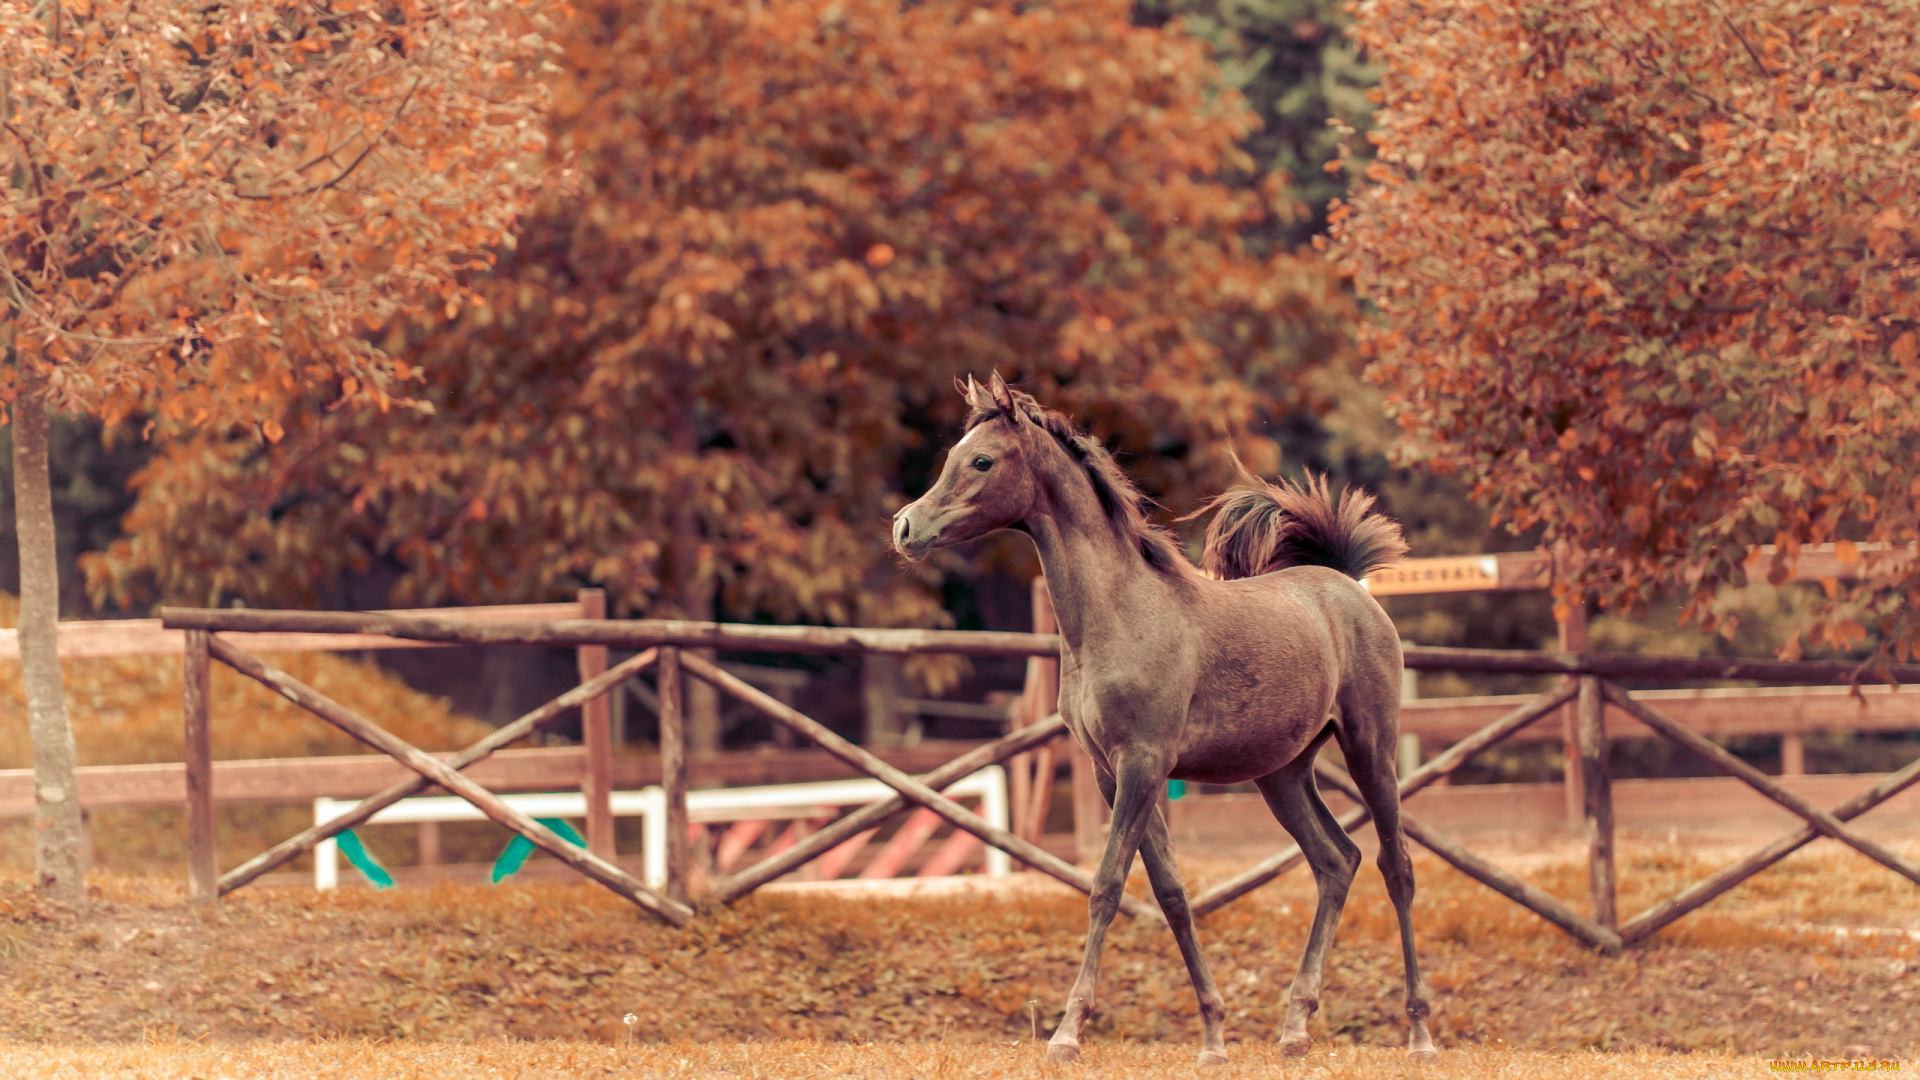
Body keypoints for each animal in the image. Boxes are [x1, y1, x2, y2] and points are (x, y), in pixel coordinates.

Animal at [890, 374, 1436, 1060]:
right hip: (1282, 774)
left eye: (982, 460)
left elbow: (1106, 886)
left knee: (1397, 867)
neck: (1118, 617)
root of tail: (1347, 585)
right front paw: (1213, 1037)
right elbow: (1172, 893)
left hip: (1370, 747)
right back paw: (1295, 1028)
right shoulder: (1113, 772)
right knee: (1337, 862)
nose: (905, 526)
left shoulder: (1143, 763)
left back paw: (1419, 1034)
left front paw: (1067, 1035)